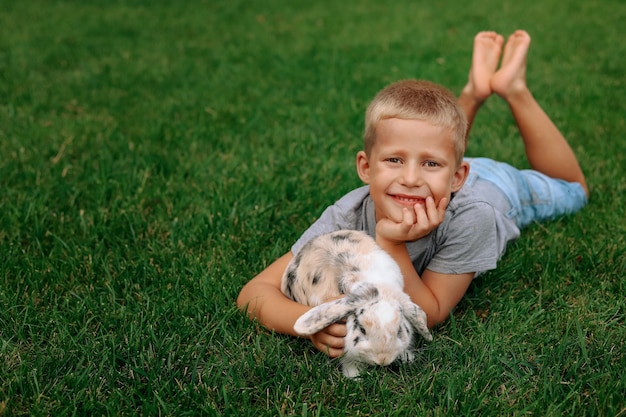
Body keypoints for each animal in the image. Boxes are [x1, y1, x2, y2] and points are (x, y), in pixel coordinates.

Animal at [280, 228, 432, 376]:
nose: (383, 359)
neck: (379, 288)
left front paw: (407, 357)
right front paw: (354, 376)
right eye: (362, 329)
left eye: (399, 329)